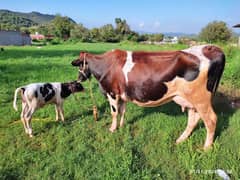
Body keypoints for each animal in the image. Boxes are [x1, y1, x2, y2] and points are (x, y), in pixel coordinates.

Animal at [71, 45, 225, 149]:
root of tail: (211, 48)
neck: (105, 65)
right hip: (191, 100)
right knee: (193, 120)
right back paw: (180, 140)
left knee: (211, 120)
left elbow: (114, 113)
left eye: (79, 65)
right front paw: (122, 126)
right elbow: (122, 111)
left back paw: (206, 148)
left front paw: (112, 129)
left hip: (201, 99)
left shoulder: (112, 93)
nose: (79, 79)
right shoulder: (123, 94)